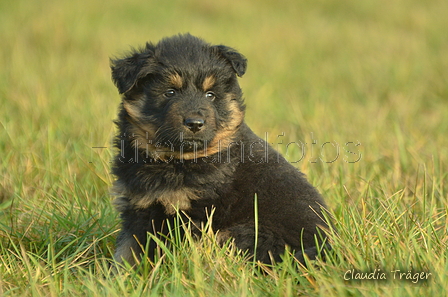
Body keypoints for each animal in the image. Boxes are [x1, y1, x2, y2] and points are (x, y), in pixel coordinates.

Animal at [110, 33, 328, 264]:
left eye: (210, 95)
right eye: (169, 92)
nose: (195, 123)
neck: (174, 160)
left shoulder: (193, 216)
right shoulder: (136, 209)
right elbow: (124, 254)